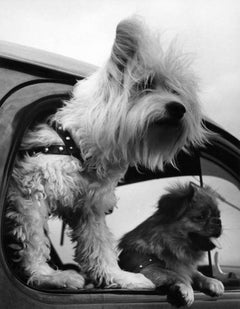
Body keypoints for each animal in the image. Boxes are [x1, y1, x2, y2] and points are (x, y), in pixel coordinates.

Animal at [6, 18, 208, 288]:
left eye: (177, 91)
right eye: (145, 84)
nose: (178, 108)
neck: (78, 147)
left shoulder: (90, 208)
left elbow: (99, 246)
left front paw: (118, 276)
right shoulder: (30, 191)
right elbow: (34, 240)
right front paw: (46, 276)